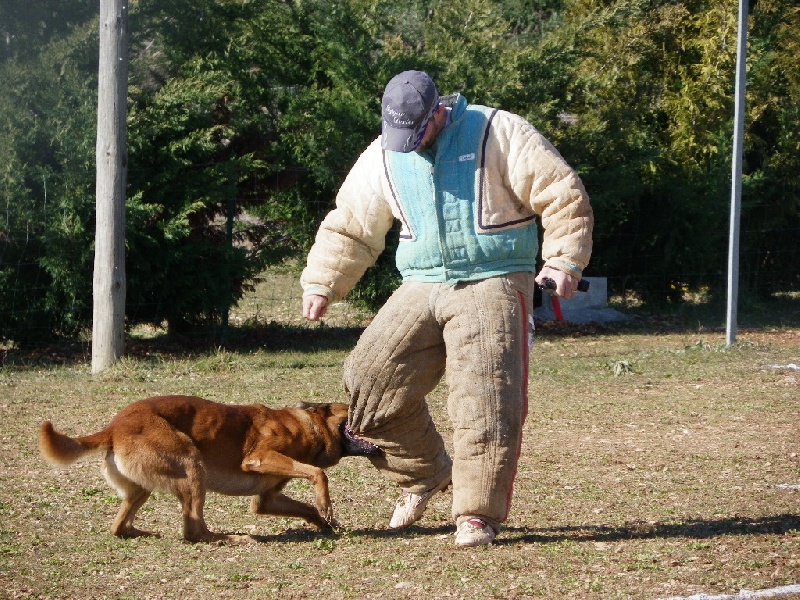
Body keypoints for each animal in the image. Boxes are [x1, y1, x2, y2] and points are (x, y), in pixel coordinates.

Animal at [39, 394, 382, 544]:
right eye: (352, 408)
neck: (306, 425)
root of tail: (113, 426)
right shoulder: (258, 457)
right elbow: (318, 473)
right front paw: (325, 505)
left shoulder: (267, 500)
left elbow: (305, 506)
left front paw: (325, 522)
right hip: (193, 467)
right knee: (193, 530)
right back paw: (231, 538)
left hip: (145, 487)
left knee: (120, 526)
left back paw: (144, 532)